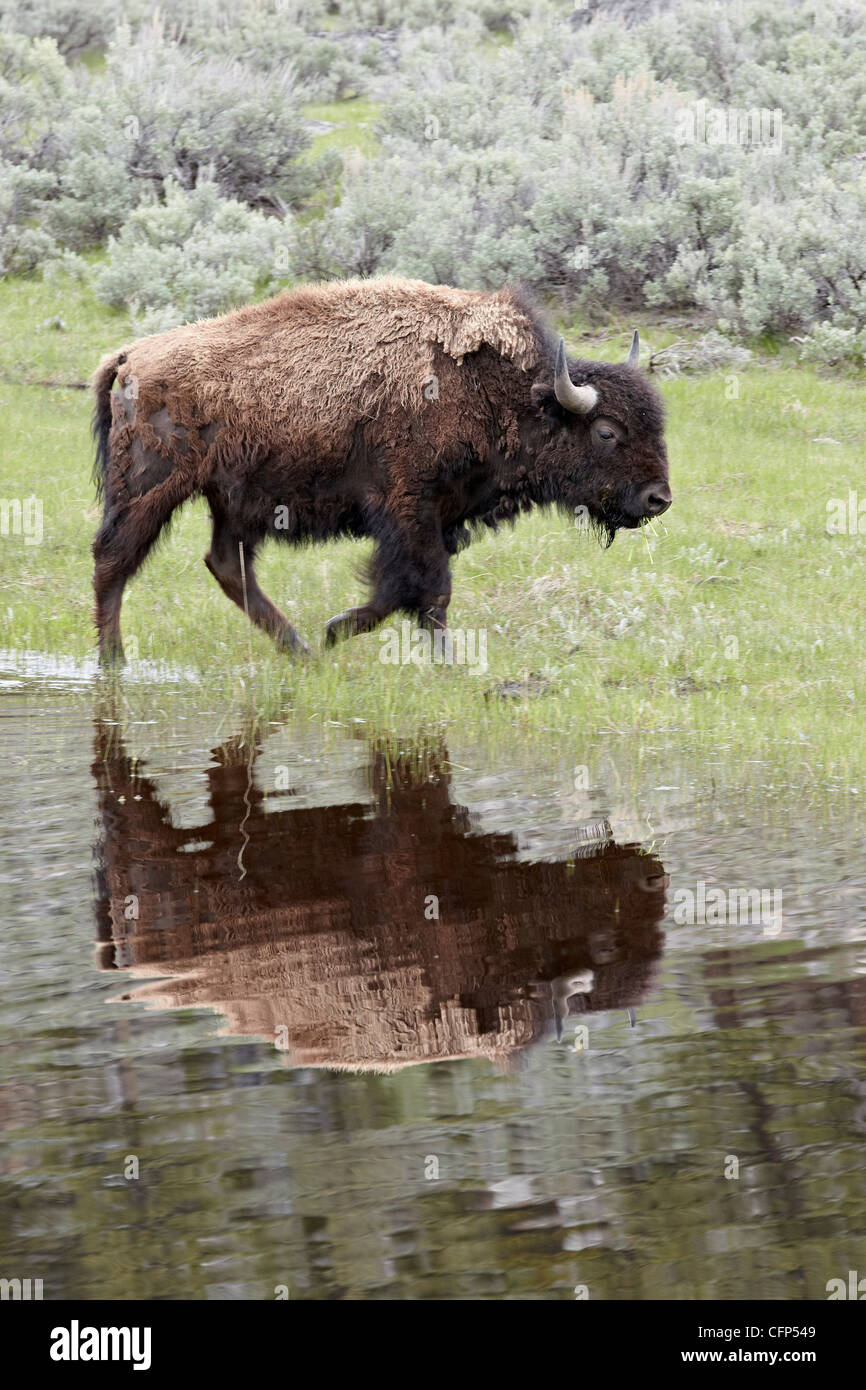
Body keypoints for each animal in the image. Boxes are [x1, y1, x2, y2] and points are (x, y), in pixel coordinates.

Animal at [94, 275, 675, 661]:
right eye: (607, 432)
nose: (659, 498)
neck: (499, 391)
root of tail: (131, 355)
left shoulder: (438, 516)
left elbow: (409, 590)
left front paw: (339, 632)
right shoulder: (408, 507)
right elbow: (426, 588)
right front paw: (433, 658)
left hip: (233, 501)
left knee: (226, 564)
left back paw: (300, 651)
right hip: (151, 488)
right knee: (113, 562)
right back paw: (112, 661)